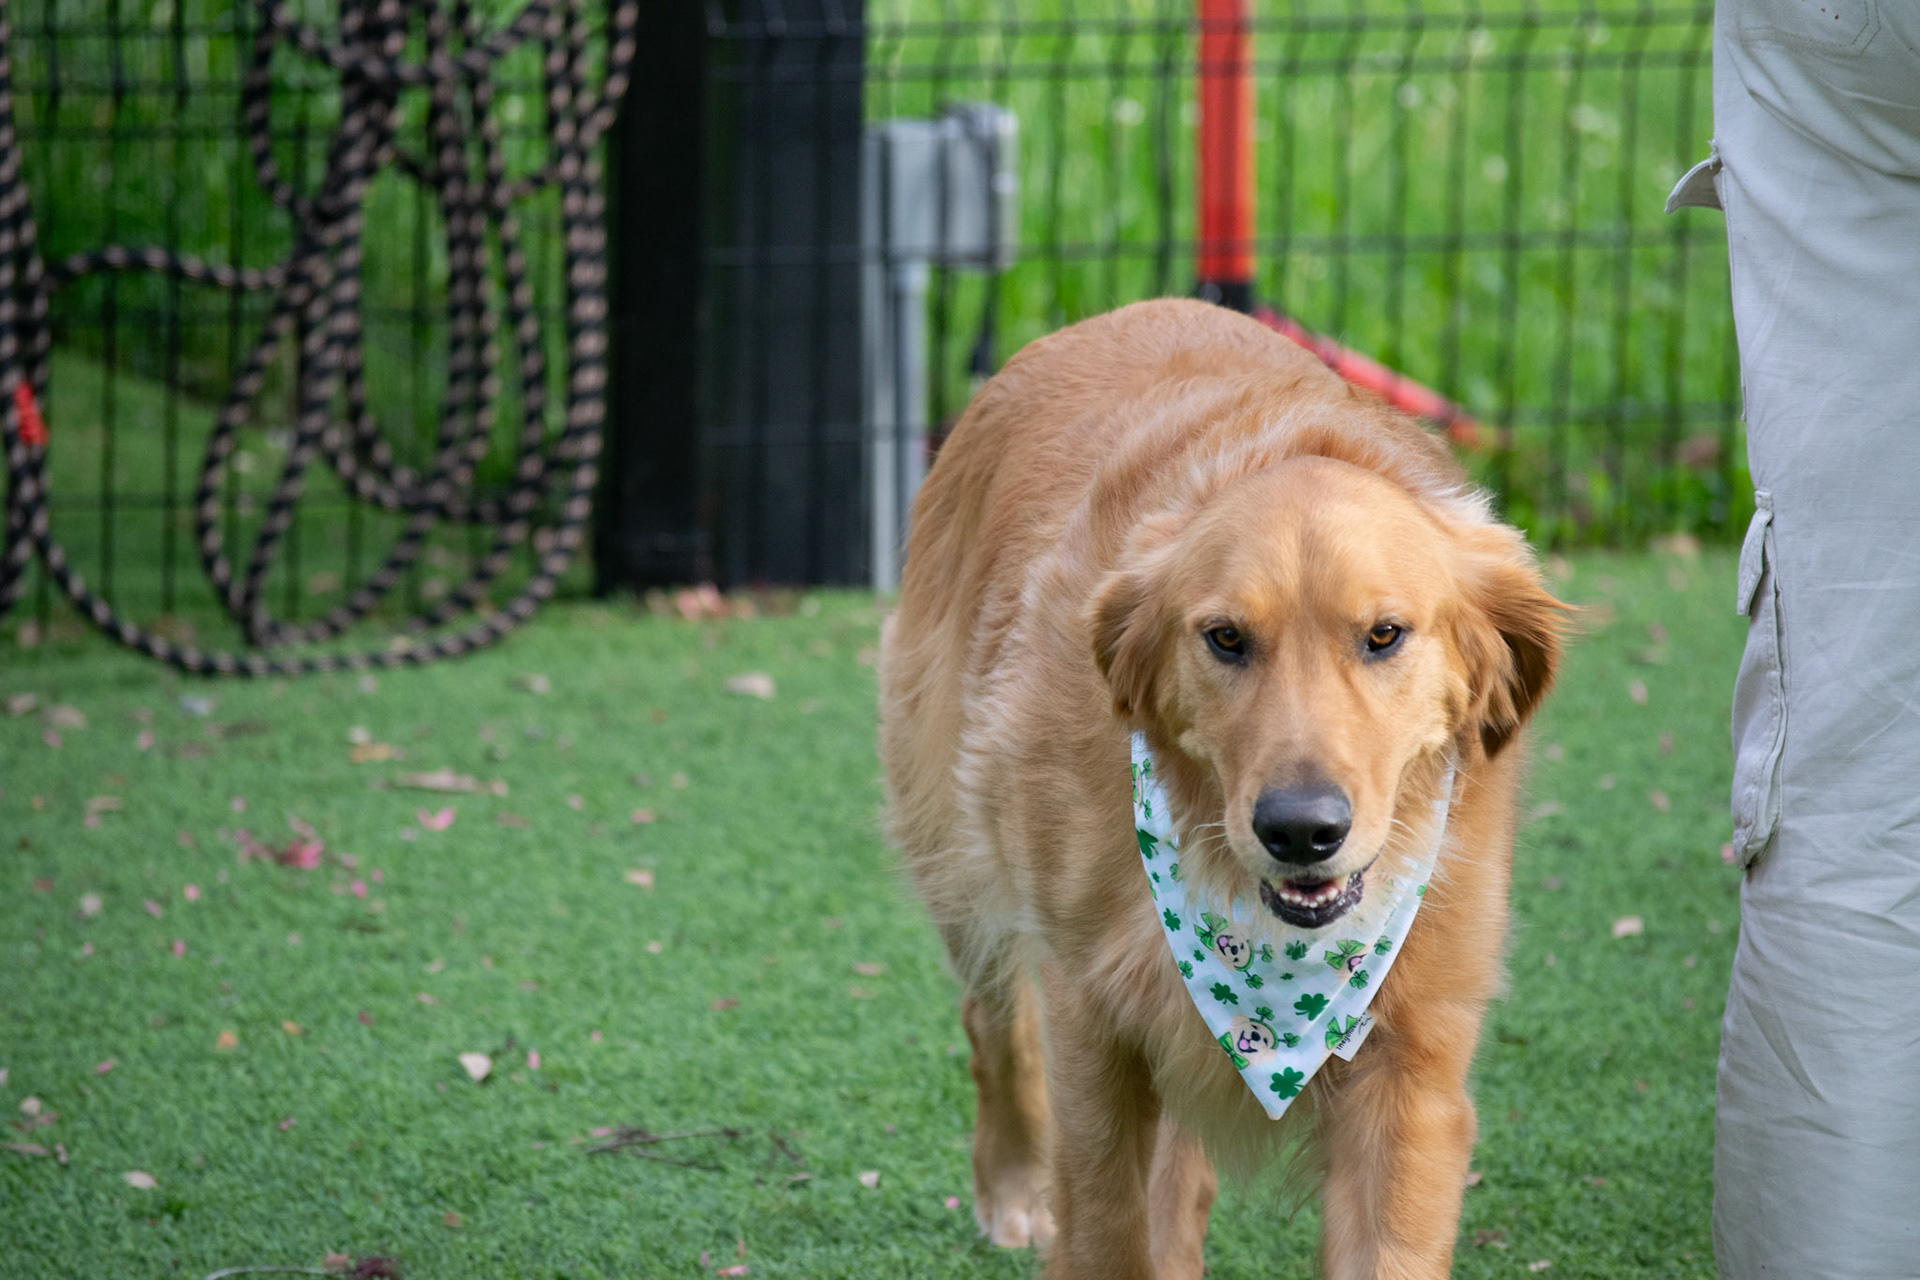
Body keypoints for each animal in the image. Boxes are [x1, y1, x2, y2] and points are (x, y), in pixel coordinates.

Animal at [879, 299, 1564, 1278]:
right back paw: (1011, 1187)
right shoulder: (1095, 1022)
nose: (1301, 830)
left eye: (1385, 635)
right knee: (994, 1017)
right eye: (1226, 638)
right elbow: (1106, 1226)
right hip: (952, 833)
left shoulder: (1413, 1070)